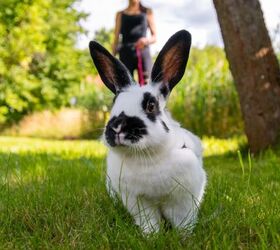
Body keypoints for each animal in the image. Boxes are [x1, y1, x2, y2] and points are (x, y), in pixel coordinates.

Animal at [88, 30, 207, 233]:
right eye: (114, 104)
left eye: (151, 106)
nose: (117, 126)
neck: (147, 158)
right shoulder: (138, 201)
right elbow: (149, 222)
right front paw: (152, 236)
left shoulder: (183, 200)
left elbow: (183, 221)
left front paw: (184, 236)